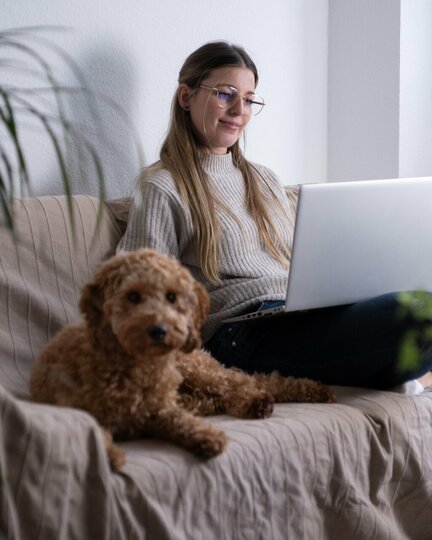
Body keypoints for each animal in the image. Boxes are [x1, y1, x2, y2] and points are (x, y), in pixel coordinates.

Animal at [29, 248, 334, 468]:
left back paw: (258, 401)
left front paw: (206, 436)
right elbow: (97, 432)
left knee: (242, 382)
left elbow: (179, 420)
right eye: (133, 296)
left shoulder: (160, 410)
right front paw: (110, 455)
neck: (134, 365)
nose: (160, 330)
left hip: (198, 370)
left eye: (171, 296)